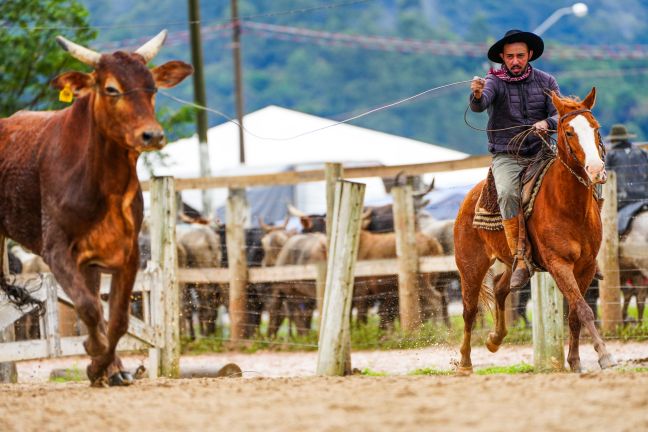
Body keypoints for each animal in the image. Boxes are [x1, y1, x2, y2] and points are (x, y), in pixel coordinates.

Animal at [454, 88, 616, 372]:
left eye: (595, 128)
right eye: (569, 132)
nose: (596, 170)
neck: (569, 206)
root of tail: (468, 199)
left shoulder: (585, 266)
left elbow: (575, 314)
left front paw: (575, 361)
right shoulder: (558, 263)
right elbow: (583, 308)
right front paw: (604, 355)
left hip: (514, 262)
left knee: (501, 287)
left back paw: (495, 339)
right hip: (470, 265)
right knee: (469, 310)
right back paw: (465, 361)